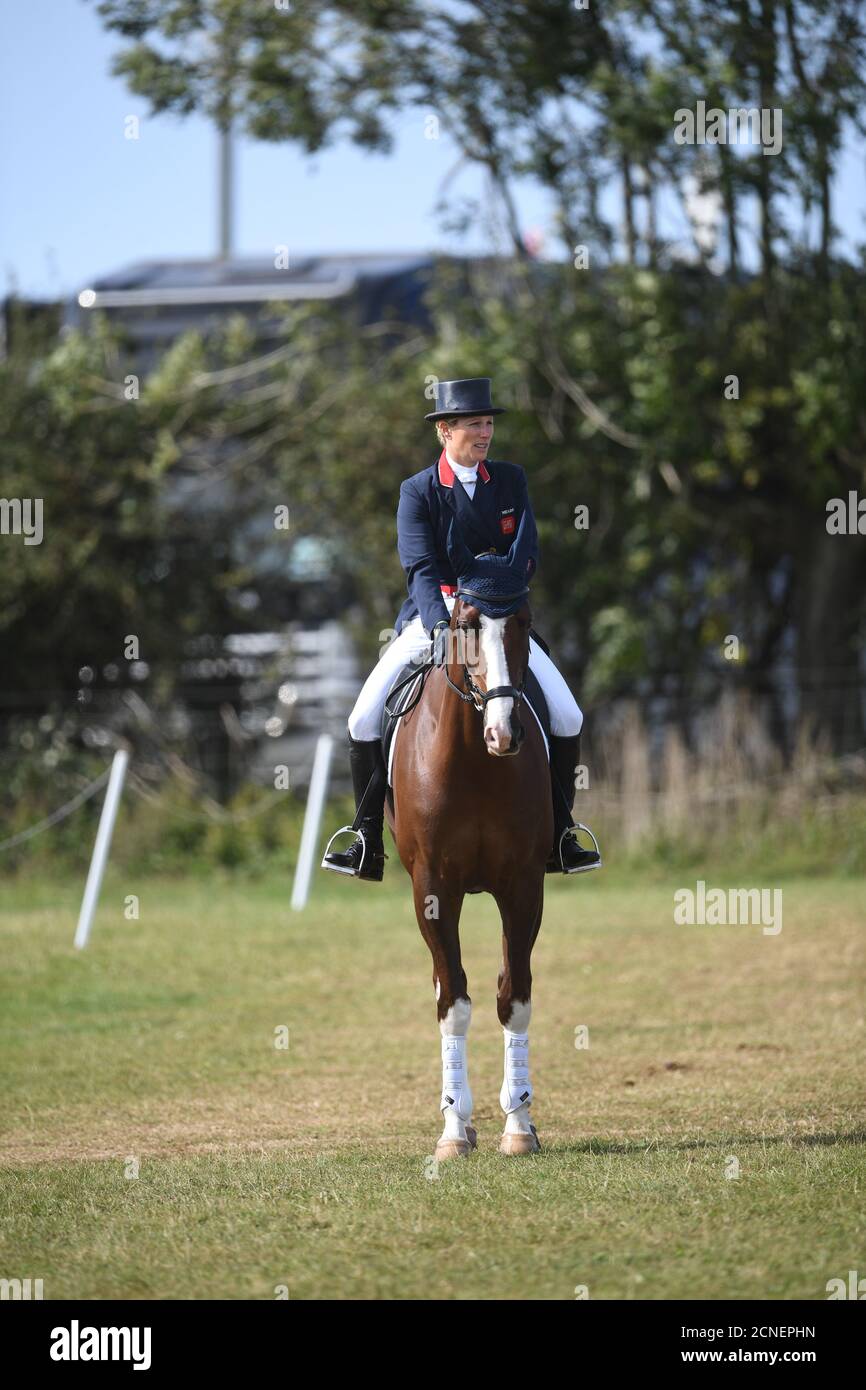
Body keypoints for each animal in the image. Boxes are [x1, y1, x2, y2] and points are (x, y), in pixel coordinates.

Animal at [383, 517, 547, 1156]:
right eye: (467, 623)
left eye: (523, 621)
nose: (505, 733)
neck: (477, 761)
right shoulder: (433, 888)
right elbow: (453, 1003)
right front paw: (454, 1128)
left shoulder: (524, 885)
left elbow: (513, 997)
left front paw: (519, 1123)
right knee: (441, 985)